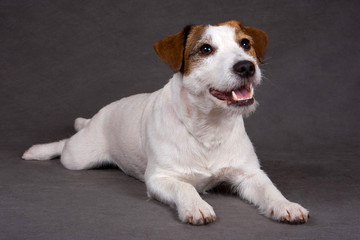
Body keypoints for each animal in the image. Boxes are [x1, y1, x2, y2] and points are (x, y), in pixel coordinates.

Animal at [23, 20, 310, 225]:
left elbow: (270, 189)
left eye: (245, 43)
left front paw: (286, 205)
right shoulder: (160, 179)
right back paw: (40, 150)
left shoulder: (249, 174)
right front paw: (196, 205)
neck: (208, 127)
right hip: (79, 156)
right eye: (205, 49)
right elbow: (185, 187)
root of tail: (100, 114)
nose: (246, 66)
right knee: (65, 145)